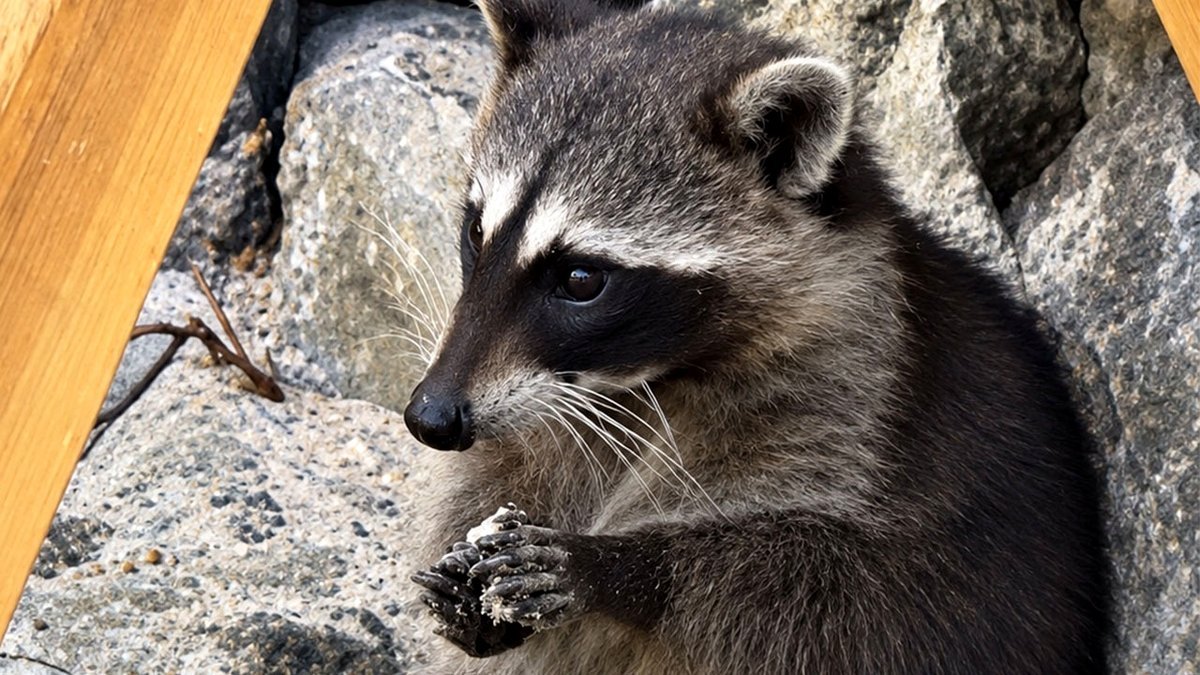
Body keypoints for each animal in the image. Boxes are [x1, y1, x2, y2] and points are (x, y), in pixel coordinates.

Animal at [406, 1, 1107, 673]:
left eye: (581, 278)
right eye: (476, 231)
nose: (430, 417)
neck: (647, 382)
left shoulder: (873, 411)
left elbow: (853, 595)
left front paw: (618, 565)